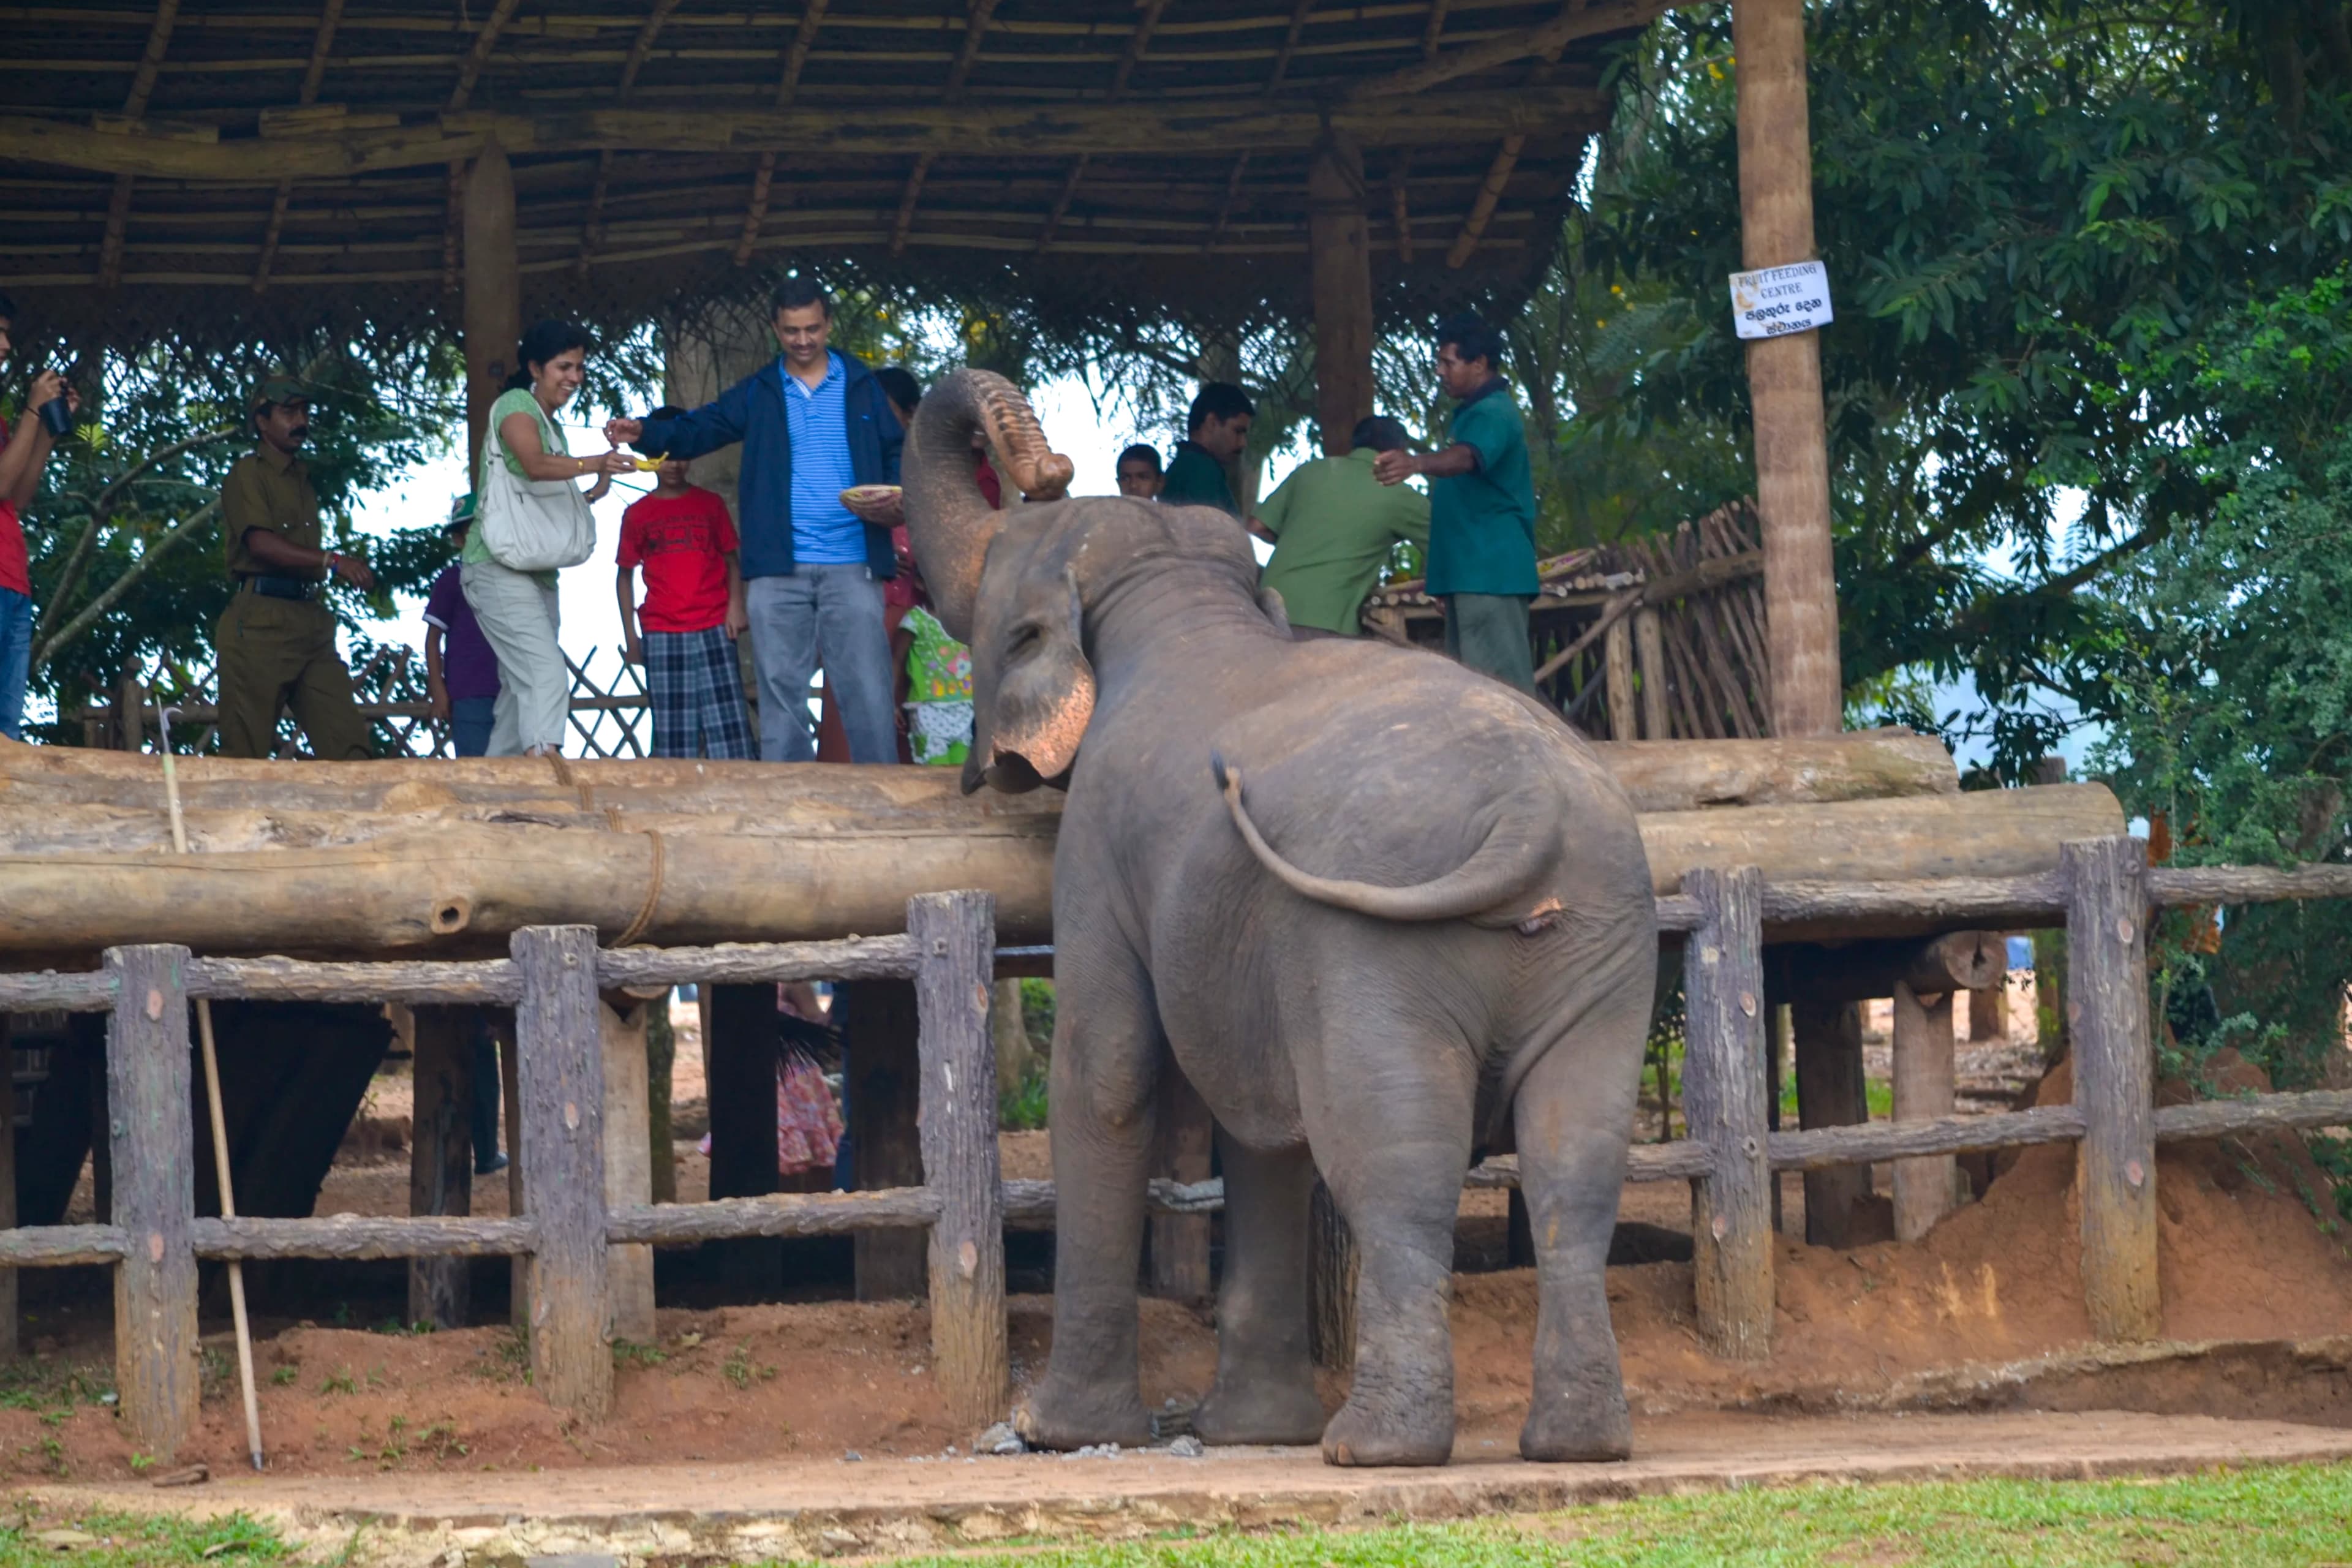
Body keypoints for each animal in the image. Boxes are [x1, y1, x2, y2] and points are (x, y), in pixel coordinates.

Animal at [902, 369, 1657, 1467]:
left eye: (993, 606)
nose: (1048, 464)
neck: (1177, 593)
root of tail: (1532, 808)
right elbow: (1257, 1123)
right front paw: (1251, 1434)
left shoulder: (1097, 850)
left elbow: (1110, 1069)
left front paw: (1056, 1431)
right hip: (1604, 943)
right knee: (1575, 1161)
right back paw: (1576, 1443)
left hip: (1379, 950)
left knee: (1394, 1159)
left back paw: (1373, 1448)